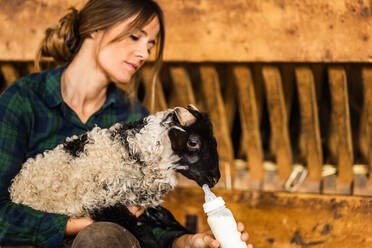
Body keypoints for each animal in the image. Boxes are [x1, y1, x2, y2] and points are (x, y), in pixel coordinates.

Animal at [9, 104, 221, 246]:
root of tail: (15, 188)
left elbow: (167, 218)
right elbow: (142, 231)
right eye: (193, 142)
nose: (215, 179)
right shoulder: (101, 202)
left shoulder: (139, 203)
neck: (134, 153)